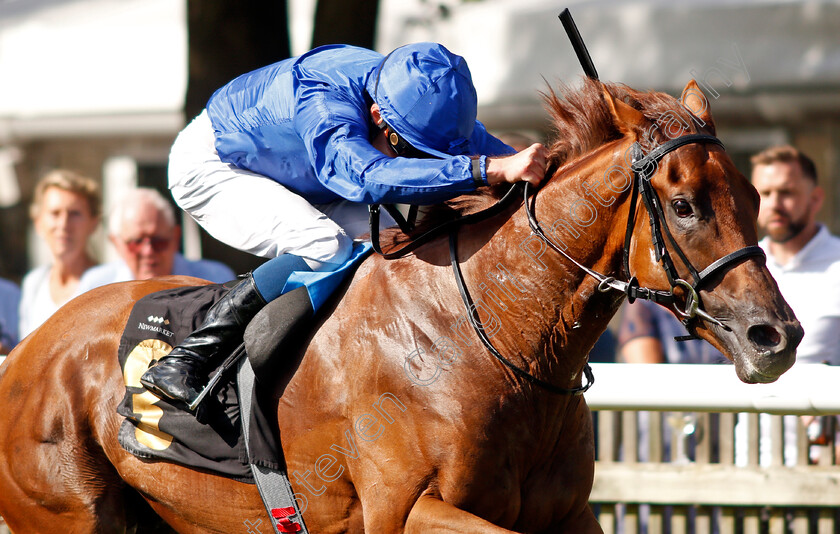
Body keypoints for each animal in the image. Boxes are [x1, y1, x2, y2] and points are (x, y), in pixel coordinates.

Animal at [0, 77, 800, 532]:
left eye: (756, 196)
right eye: (686, 204)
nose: (777, 336)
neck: (494, 339)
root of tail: (27, 351)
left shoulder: (568, 515)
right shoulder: (408, 508)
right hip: (68, 513)